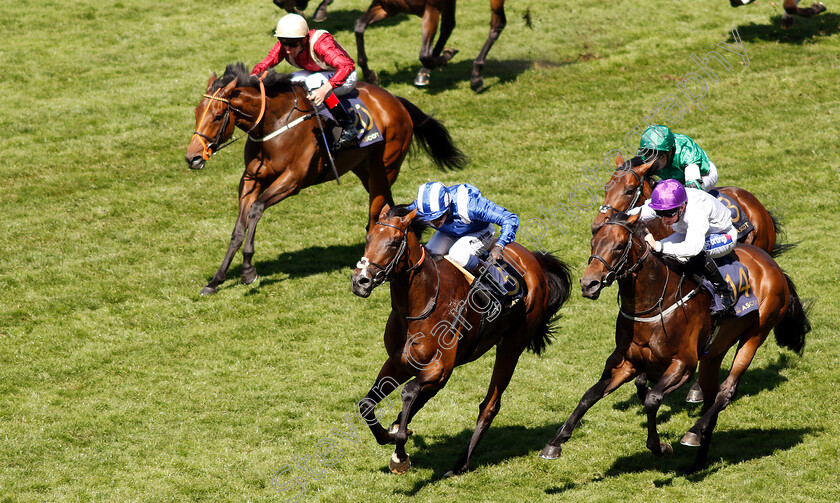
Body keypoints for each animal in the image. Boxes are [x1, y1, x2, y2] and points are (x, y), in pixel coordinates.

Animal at [185, 65, 466, 298]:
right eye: (197, 112)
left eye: (218, 115)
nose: (192, 157)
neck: (274, 125)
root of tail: (396, 101)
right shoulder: (251, 180)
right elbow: (238, 229)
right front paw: (216, 280)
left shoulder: (292, 180)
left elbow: (255, 210)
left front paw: (247, 270)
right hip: (365, 170)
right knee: (388, 207)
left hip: (384, 167)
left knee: (376, 211)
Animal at [348, 205, 572, 476]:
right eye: (368, 238)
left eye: (392, 242)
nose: (360, 281)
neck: (421, 303)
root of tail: (534, 260)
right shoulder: (397, 363)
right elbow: (366, 405)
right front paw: (390, 435)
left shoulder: (441, 367)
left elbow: (409, 392)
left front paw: (400, 454)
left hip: (511, 345)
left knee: (489, 406)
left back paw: (459, 465)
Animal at [354, 0, 506, 91]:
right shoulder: (388, 8)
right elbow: (359, 27)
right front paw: (369, 75)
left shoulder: (431, 9)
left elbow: (424, 55)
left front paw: (446, 56)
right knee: (448, 25)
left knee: (497, 24)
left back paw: (476, 75)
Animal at [540, 213, 808, 472]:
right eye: (593, 243)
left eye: (618, 246)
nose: (589, 284)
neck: (653, 303)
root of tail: (772, 265)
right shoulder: (626, 363)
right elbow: (590, 395)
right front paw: (554, 443)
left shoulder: (683, 364)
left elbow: (652, 399)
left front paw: (660, 446)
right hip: (713, 354)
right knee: (711, 399)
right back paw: (698, 457)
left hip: (756, 334)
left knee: (726, 392)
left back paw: (693, 432)